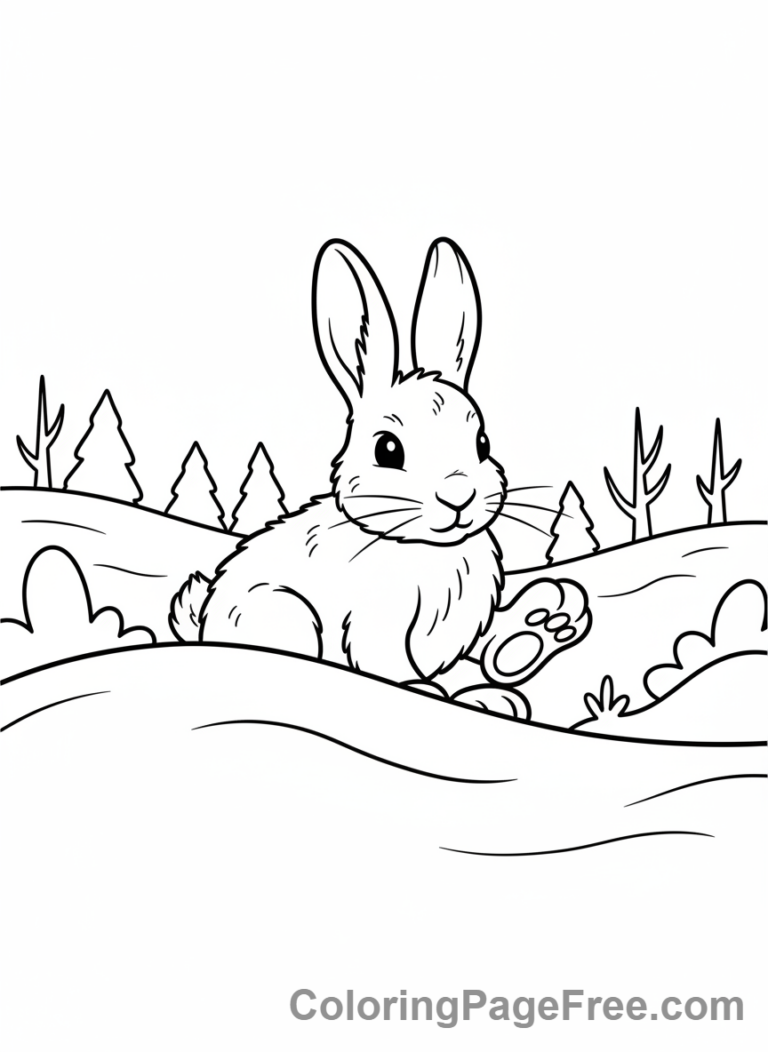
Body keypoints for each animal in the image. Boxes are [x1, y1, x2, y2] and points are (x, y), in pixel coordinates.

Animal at [170, 237, 510, 687]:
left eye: (482, 444)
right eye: (387, 449)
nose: (459, 496)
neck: (417, 545)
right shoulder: (378, 624)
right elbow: (389, 666)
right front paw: (425, 688)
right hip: (286, 613)